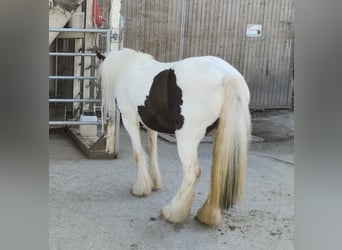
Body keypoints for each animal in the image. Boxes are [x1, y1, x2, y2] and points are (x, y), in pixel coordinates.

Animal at [96, 47, 251, 226]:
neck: (128, 69)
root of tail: (228, 75)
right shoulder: (151, 124)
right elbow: (151, 150)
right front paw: (154, 183)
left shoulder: (130, 121)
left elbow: (138, 153)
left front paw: (141, 188)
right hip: (220, 135)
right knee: (217, 172)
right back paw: (207, 214)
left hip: (186, 139)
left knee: (192, 173)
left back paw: (172, 212)